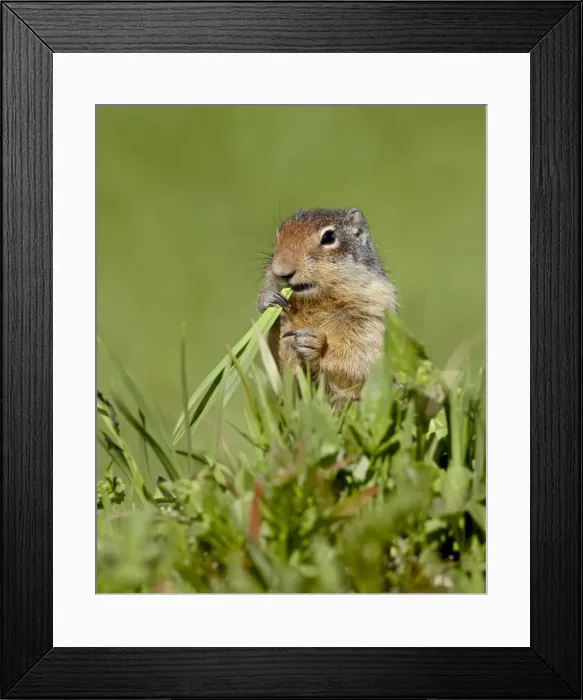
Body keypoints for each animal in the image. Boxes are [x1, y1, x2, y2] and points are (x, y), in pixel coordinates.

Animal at [257, 208, 397, 405]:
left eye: (329, 237)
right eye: (278, 235)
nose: (281, 271)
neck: (316, 301)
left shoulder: (371, 315)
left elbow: (359, 356)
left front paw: (315, 344)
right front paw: (267, 298)